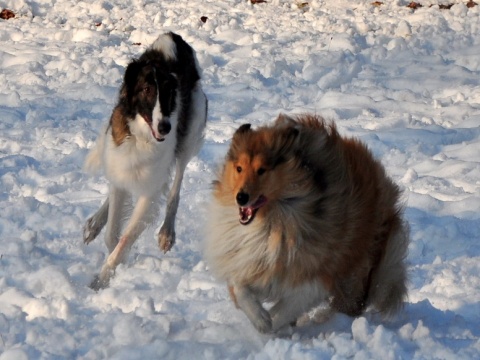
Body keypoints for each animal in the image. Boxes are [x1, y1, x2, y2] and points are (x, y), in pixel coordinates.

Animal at [85, 32, 208, 292]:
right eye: (147, 89)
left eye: (169, 93)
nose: (165, 127)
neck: (140, 136)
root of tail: (173, 36)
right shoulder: (121, 170)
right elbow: (112, 234)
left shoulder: (149, 193)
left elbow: (125, 237)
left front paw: (104, 278)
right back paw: (94, 223)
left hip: (189, 137)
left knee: (175, 189)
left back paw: (166, 233)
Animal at [205, 114, 408, 334]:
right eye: (239, 168)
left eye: (261, 170)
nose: (241, 198)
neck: (271, 222)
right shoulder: (248, 260)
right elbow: (240, 287)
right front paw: (261, 319)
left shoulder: (316, 271)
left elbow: (290, 305)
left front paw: (272, 324)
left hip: (356, 265)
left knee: (351, 302)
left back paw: (328, 321)